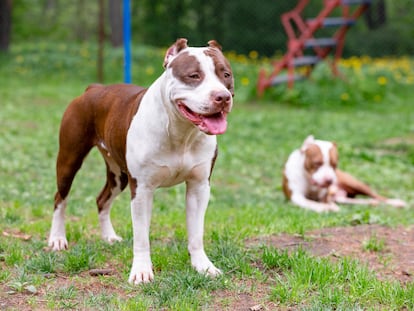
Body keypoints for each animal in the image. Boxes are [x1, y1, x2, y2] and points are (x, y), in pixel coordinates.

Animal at [47, 37, 234, 284]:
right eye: (194, 76)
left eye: (226, 75)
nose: (222, 97)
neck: (180, 131)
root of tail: (94, 88)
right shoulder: (142, 190)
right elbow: (142, 237)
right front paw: (142, 272)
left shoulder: (199, 187)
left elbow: (196, 233)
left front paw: (203, 266)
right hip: (69, 160)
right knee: (61, 198)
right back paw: (57, 239)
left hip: (119, 175)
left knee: (101, 199)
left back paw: (109, 237)